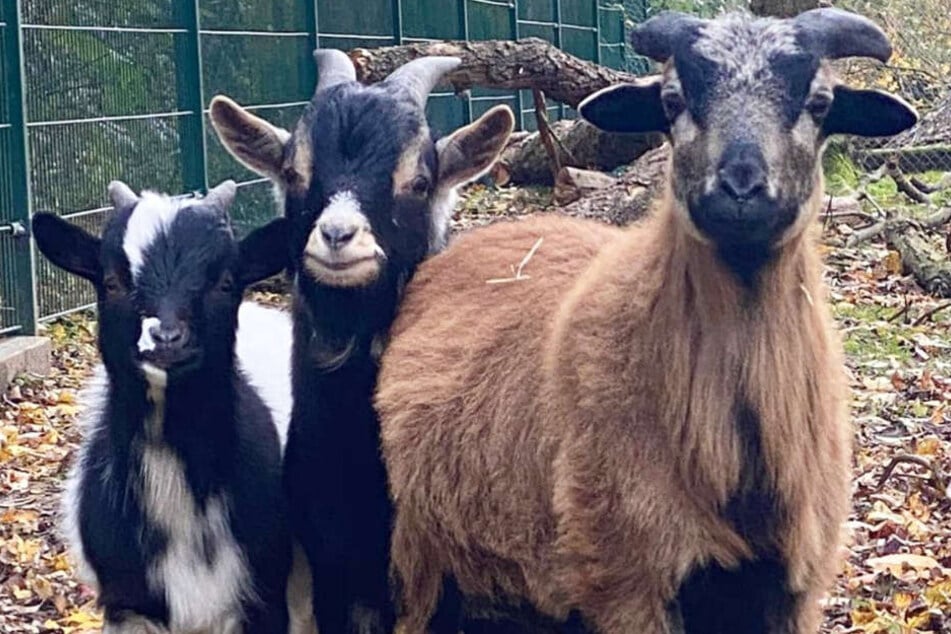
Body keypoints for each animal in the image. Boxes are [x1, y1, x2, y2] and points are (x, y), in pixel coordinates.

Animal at [376, 8, 920, 632]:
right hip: (417, 566)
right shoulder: (628, 580)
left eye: (820, 103)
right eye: (672, 100)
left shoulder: (791, 589)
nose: (740, 185)